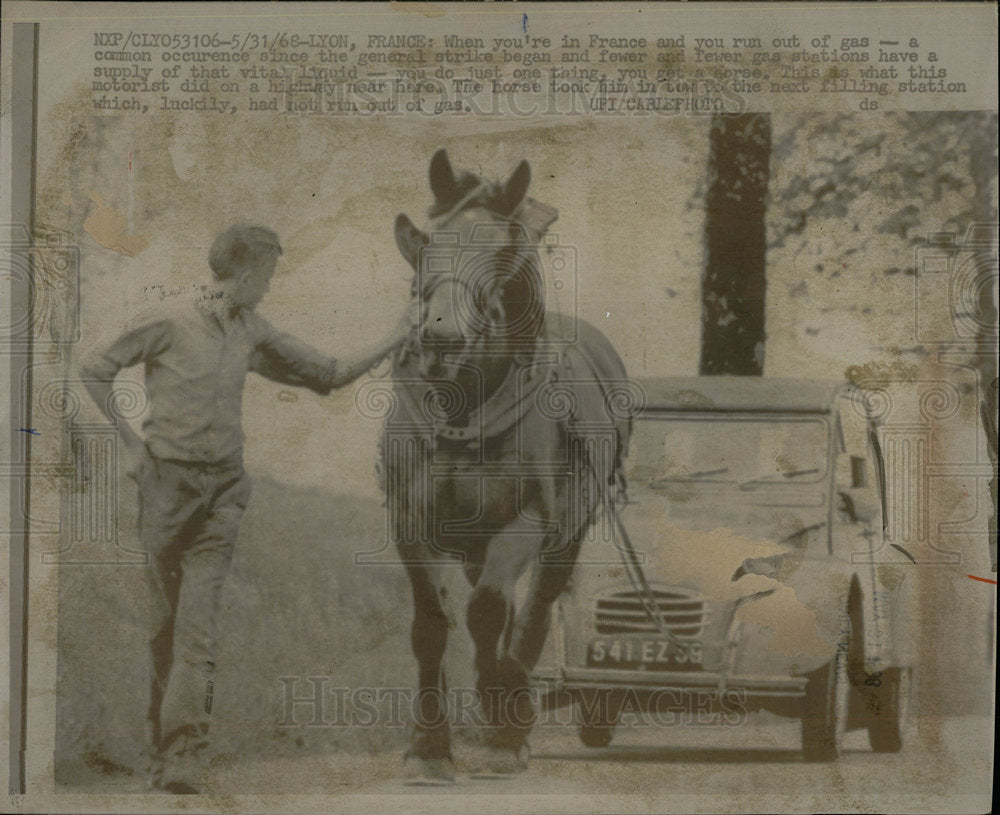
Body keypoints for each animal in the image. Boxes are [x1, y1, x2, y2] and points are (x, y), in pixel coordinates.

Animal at [382, 150, 632, 780]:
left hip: (568, 530)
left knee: (534, 606)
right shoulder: (409, 521)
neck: (464, 412)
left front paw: (505, 717)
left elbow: (492, 610)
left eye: (501, 250)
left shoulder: (531, 520)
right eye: (430, 241)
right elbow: (432, 624)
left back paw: (510, 705)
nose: (441, 337)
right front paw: (430, 745)